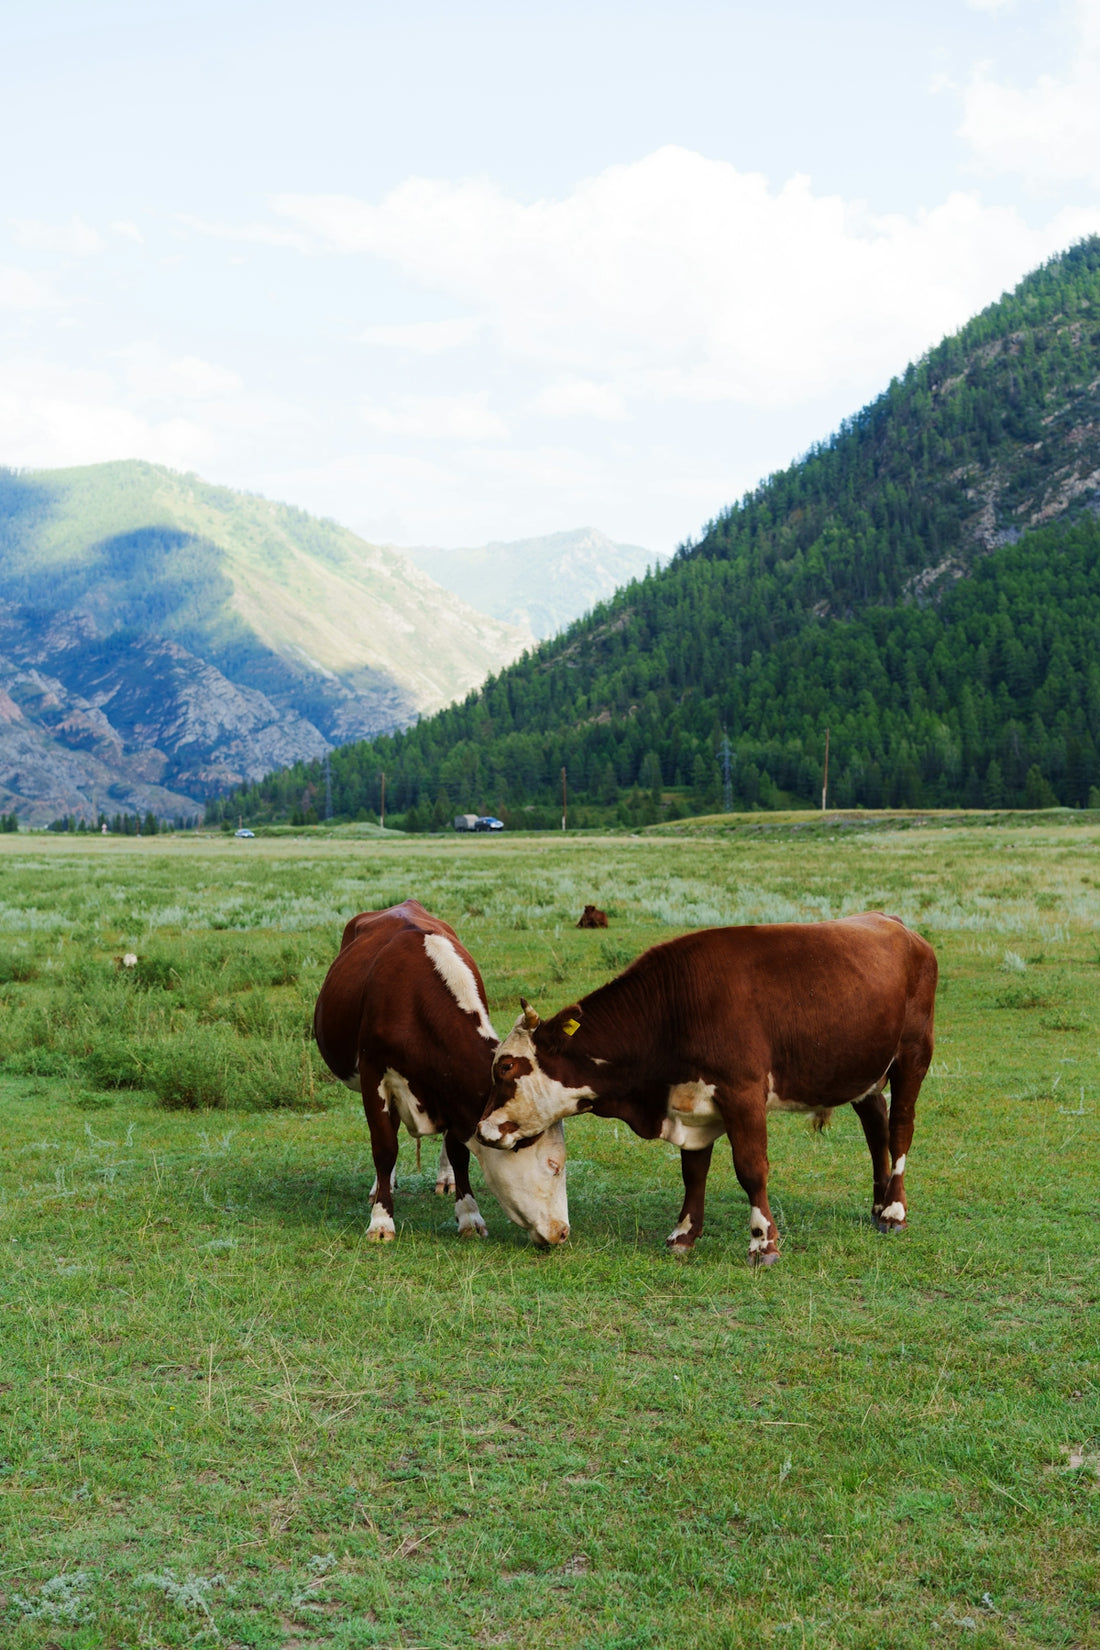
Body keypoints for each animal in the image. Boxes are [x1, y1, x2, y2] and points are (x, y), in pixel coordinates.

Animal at [313, 900, 569, 1247]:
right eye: (553, 1165)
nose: (562, 1231)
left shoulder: (452, 1090)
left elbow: (458, 1151)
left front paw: (469, 1215)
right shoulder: (373, 1076)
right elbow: (384, 1147)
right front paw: (381, 1220)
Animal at [477, 913, 937, 1264]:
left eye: (506, 1066)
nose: (481, 1130)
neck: (673, 1008)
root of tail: (896, 925)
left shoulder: (743, 1094)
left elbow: (751, 1169)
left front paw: (763, 1243)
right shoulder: (690, 1103)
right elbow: (693, 1172)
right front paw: (683, 1234)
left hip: (913, 1057)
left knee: (900, 1128)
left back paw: (894, 1211)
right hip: (862, 1070)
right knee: (876, 1126)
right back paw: (877, 1205)